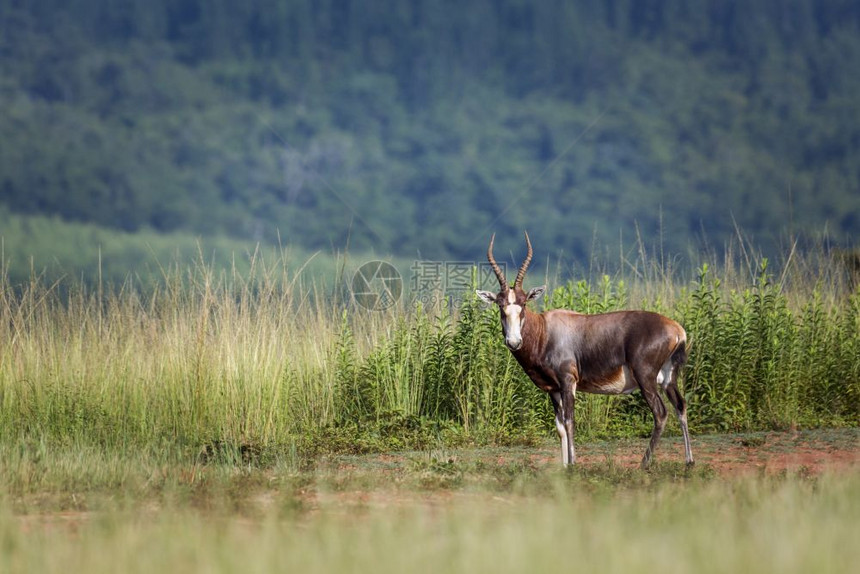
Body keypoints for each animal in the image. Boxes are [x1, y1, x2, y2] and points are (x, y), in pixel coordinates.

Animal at [478, 233, 692, 468]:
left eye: (523, 304)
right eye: (500, 305)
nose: (514, 341)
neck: (545, 331)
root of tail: (676, 329)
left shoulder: (568, 382)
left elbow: (570, 420)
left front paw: (572, 464)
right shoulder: (553, 389)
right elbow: (560, 426)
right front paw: (564, 466)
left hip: (646, 379)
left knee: (661, 413)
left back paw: (644, 464)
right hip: (667, 378)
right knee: (680, 405)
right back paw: (689, 461)